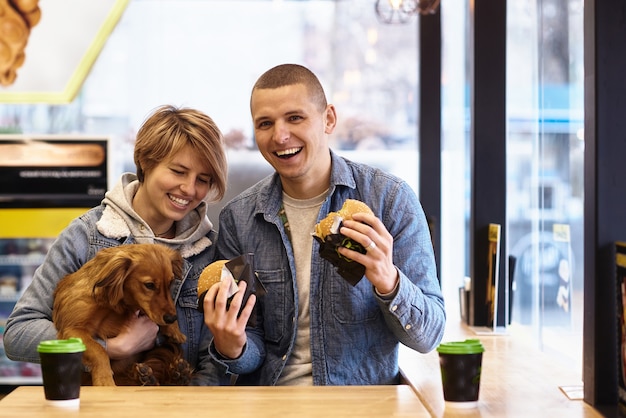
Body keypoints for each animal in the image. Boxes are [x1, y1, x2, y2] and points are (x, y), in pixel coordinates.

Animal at [52, 245, 191, 386]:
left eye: (170, 283)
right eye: (149, 285)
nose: (171, 318)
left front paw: (175, 330)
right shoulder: (72, 329)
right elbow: (99, 349)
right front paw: (104, 380)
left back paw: (176, 373)